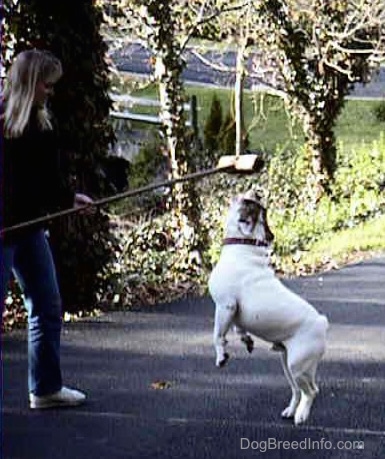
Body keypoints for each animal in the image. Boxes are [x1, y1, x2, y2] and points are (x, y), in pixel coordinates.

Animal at [208, 190, 328, 424]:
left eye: (247, 203)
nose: (256, 191)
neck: (244, 243)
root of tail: (321, 323)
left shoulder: (225, 306)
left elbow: (218, 335)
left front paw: (221, 357)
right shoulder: (234, 312)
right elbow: (237, 328)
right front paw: (246, 340)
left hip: (297, 365)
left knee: (310, 391)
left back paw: (301, 414)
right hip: (288, 363)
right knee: (299, 390)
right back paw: (291, 410)